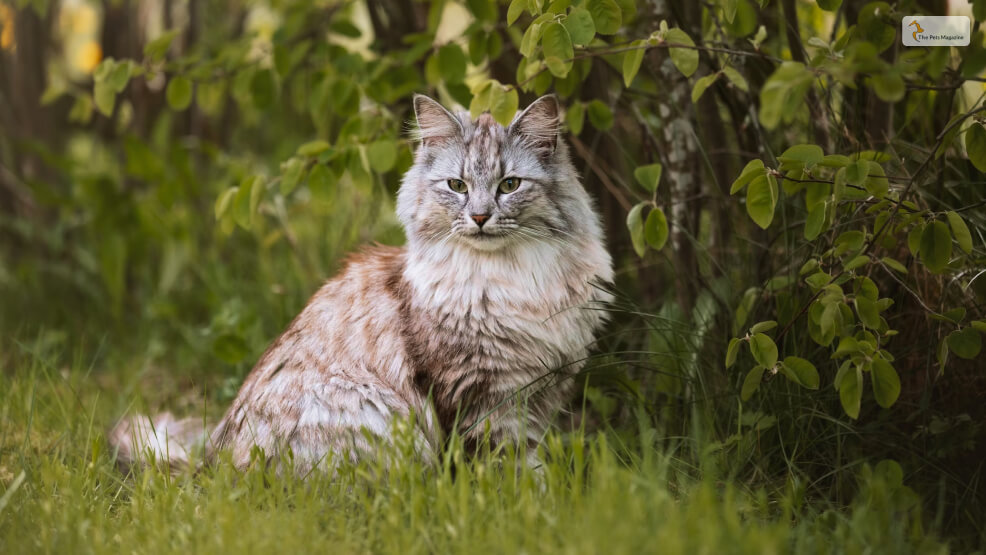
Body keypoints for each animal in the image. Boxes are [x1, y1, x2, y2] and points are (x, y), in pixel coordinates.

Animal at [111, 94, 612, 474]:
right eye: (457, 185)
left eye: (509, 185)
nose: (480, 216)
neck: (509, 279)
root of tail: (212, 468)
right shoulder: (478, 393)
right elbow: (504, 465)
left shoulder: (543, 389)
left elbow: (532, 461)